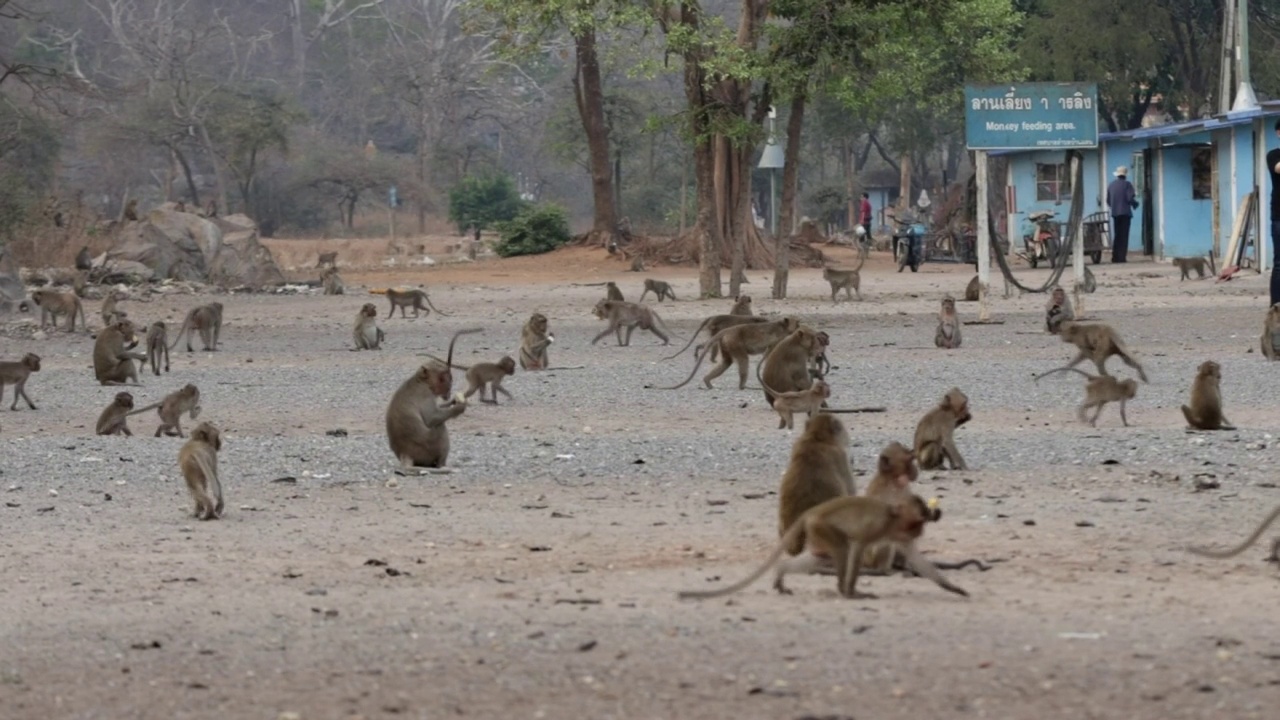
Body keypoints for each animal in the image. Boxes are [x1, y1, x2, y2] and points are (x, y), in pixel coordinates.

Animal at [386, 327, 481, 468]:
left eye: (449, 377)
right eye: (443, 377)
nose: (449, 386)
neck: (421, 381)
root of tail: (405, 453)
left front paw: (454, 401)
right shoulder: (426, 395)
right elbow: (432, 418)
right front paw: (459, 407)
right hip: (428, 449)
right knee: (439, 426)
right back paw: (442, 464)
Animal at [675, 491, 962, 599]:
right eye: (919, 515)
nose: (923, 526)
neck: (893, 519)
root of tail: (810, 513)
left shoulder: (900, 536)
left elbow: (917, 559)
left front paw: (953, 588)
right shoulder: (877, 527)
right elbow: (858, 547)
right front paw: (852, 591)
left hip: (815, 532)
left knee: (819, 557)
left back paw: (781, 572)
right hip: (822, 526)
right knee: (842, 549)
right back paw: (844, 591)